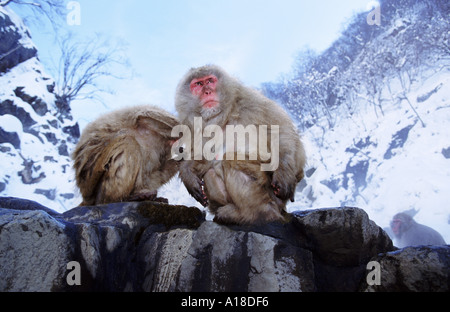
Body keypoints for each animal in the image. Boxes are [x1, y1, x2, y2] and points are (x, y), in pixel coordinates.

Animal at [175, 64, 306, 224]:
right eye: (198, 84)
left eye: (210, 80)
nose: (207, 91)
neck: (221, 117)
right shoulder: (192, 126)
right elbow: (202, 155)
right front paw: (187, 171)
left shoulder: (251, 100)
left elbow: (280, 130)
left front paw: (284, 173)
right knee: (210, 172)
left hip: (273, 195)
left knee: (231, 159)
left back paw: (258, 213)